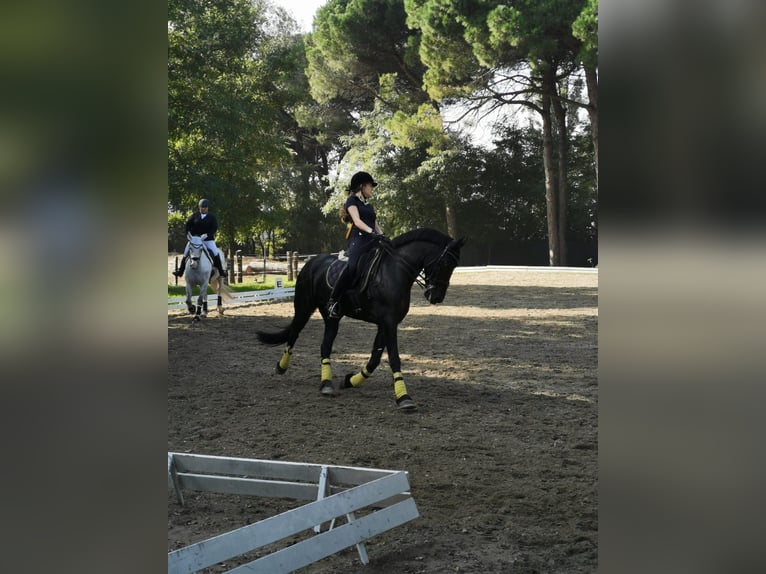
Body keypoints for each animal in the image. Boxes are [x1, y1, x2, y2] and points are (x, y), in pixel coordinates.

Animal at [255, 227, 464, 412]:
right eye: (445, 263)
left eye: (454, 266)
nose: (436, 297)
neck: (394, 272)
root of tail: (312, 261)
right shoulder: (388, 323)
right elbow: (394, 358)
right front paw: (404, 398)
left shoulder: (386, 323)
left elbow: (375, 358)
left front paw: (351, 381)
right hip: (304, 307)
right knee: (294, 333)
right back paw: (281, 367)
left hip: (332, 317)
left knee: (325, 345)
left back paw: (326, 384)